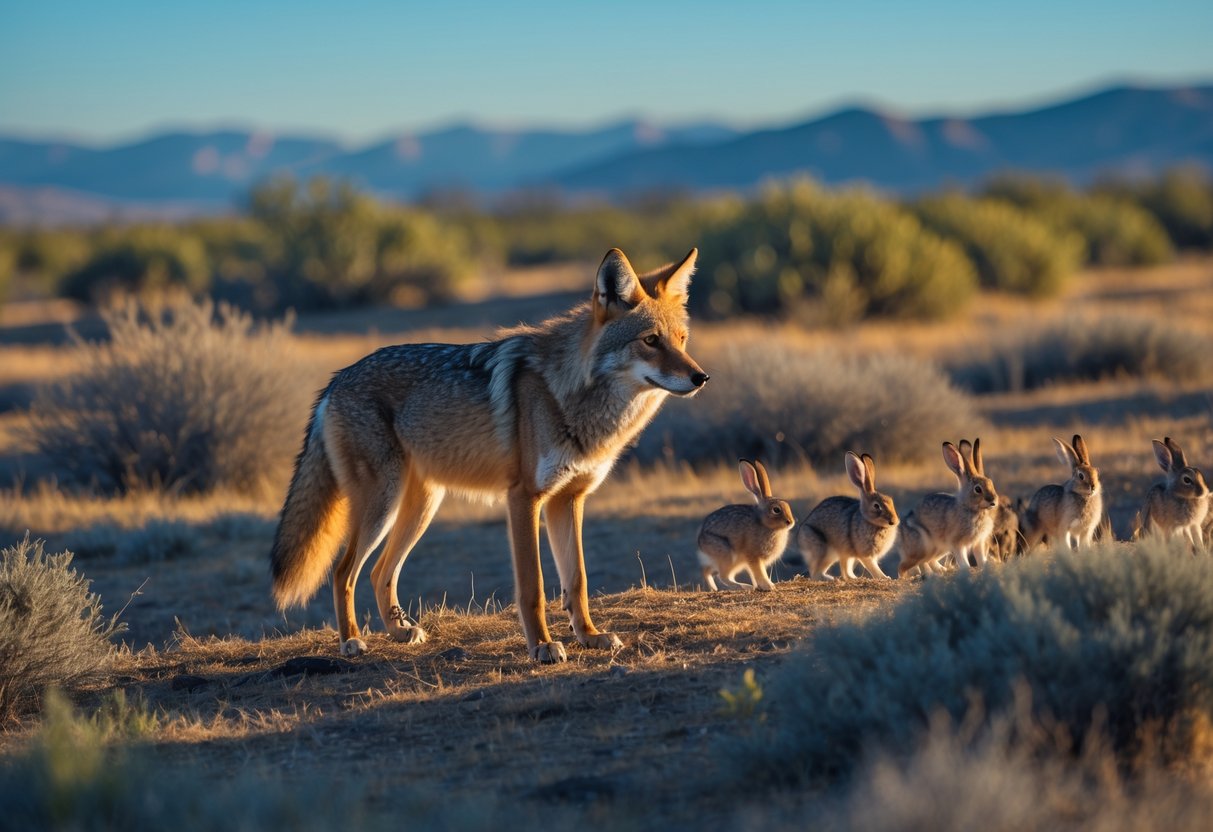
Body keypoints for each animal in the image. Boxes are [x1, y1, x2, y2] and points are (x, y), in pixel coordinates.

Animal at [698, 459, 795, 591]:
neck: (765, 524)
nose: (790, 522)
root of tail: (700, 541)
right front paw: (769, 586)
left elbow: (754, 574)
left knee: (708, 571)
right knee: (723, 576)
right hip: (727, 555)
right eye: (776, 510)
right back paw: (744, 586)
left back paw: (715, 588)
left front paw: (761, 586)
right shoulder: (754, 557)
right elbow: (760, 573)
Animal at [797, 451, 899, 580]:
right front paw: (884, 577)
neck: (871, 522)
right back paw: (832, 579)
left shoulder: (854, 555)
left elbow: (849, 569)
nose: (894, 521)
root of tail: (800, 538)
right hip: (824, 551)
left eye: (891, 501)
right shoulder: (864, 554)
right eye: (876, 506)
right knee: (816, 574)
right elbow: (872, 567)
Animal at [897, 438, 999, 577]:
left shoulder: (978, 543)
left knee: (929, 561)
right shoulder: (957, 543)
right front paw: (967, 571)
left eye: (991, 483)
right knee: (905, 566)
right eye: (978, 489)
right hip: (925, 547)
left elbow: (980, 558)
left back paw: (942, 571)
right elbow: (963, 560)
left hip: (940, 549)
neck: (972, 509)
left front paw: (986, 568)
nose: (993, 501)